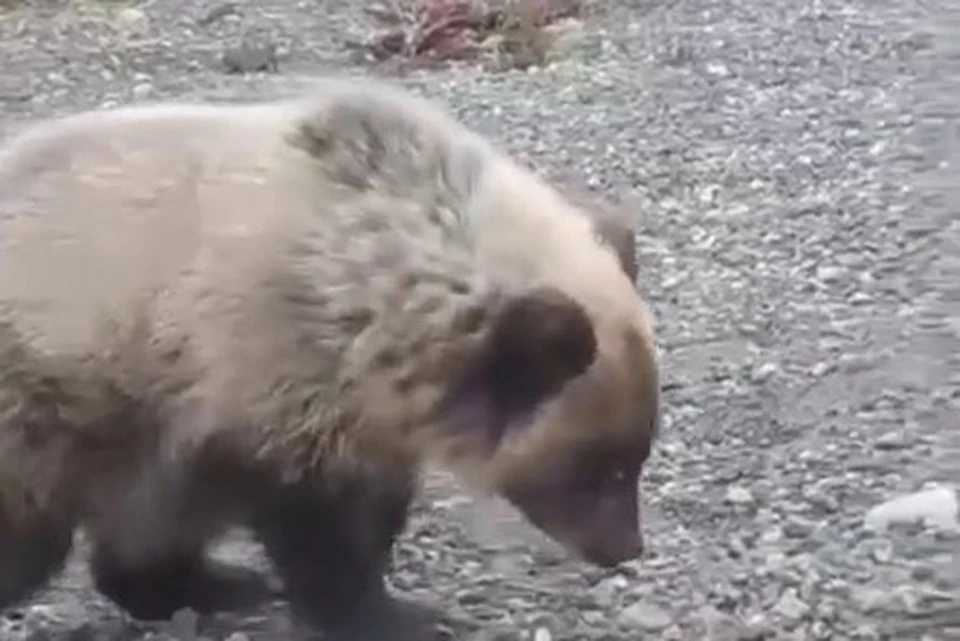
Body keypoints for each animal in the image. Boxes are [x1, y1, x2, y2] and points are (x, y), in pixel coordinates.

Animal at [0, 79, 660, 640]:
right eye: (599, 465)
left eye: (637, 453)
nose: (624, 547)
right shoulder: (263, 383)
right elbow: (316, 530)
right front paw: (387, 615)